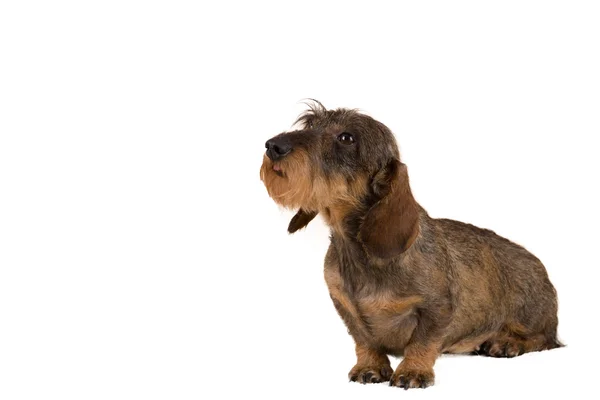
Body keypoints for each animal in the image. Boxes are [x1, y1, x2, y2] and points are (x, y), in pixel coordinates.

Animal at [258, 101, 564, 390]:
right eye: (309, 124)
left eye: (346, 137)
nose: (273, 146)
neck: (358, 251)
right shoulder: (344, 305)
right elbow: (363, 339)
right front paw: (369, 366)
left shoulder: (437, 308)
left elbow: (423, 342)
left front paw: (413, 371)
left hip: (530, 315)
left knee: (544, 339)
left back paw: (508, 343)